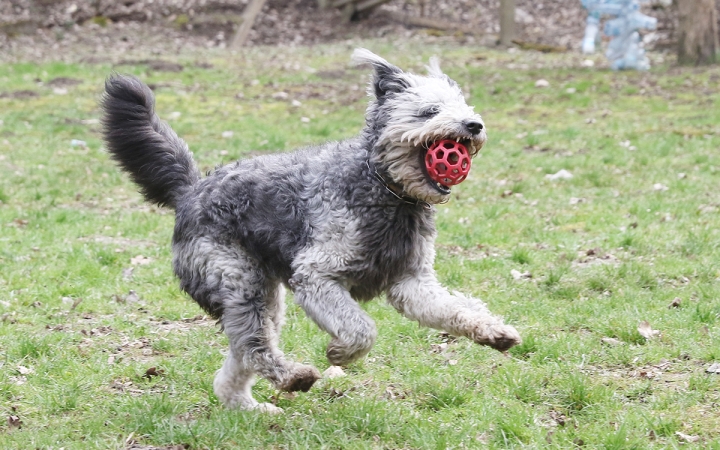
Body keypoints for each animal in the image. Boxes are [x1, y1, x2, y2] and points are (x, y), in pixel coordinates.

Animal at [101, 48, 520, 412]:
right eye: (429, 111)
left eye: (466, 109)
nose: (474, 125)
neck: (383, 187)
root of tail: (191, 190)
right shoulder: (317, 275)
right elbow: (361, 329)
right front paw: (340, 353)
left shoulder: (412, 282)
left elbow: (454, 307)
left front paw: (494, 331)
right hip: (237, 279)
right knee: (254, 346)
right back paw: (293, 377)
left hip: (262, 295)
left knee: (238, 358)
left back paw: (249, 408)